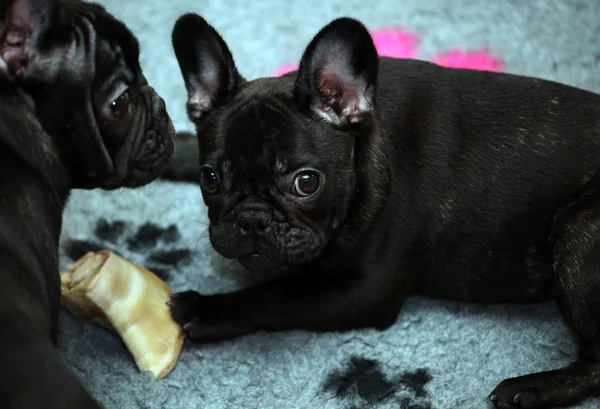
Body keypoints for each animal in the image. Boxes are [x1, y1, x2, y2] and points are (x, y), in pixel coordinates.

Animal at [168, 12, 600, 408]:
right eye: (210, 179)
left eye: (306, 182)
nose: (252, 218)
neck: (367, 142)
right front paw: (171, 147)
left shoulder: (363, 289)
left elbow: (276, 295)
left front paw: (207, 309)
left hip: (578, 233)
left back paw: (532, 389)